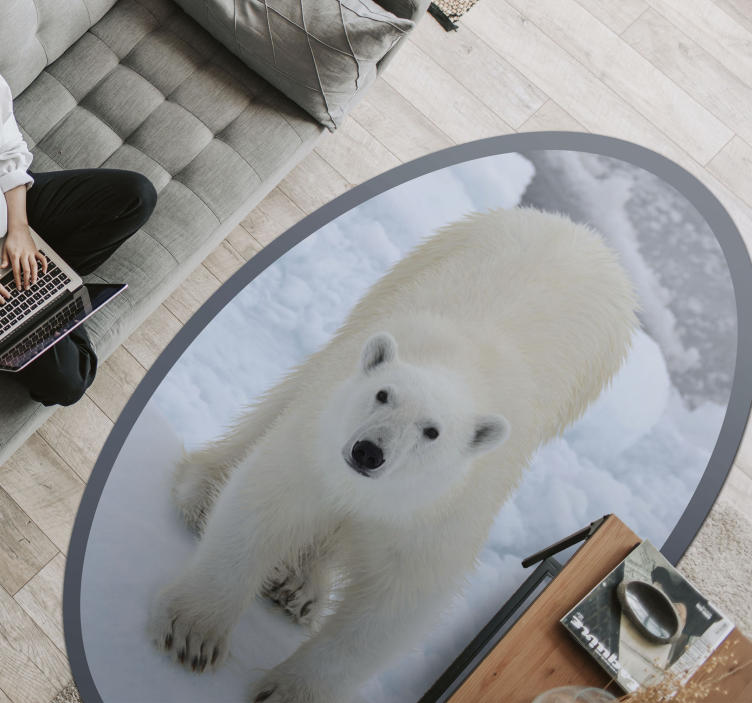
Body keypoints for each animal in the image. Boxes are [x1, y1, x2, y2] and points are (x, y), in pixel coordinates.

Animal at [147, 206, 639, 703]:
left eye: (432, 432)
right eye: (383, 394)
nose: (369, 453)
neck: (462, 368)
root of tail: (584, 233)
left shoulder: (446, 508)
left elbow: (398, 599)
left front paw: (289, 692)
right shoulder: (319, 441)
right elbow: (267, 505)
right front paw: (195, 636)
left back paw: (301, 587)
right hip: (414, 267)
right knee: (293, 388)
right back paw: (203, 495)